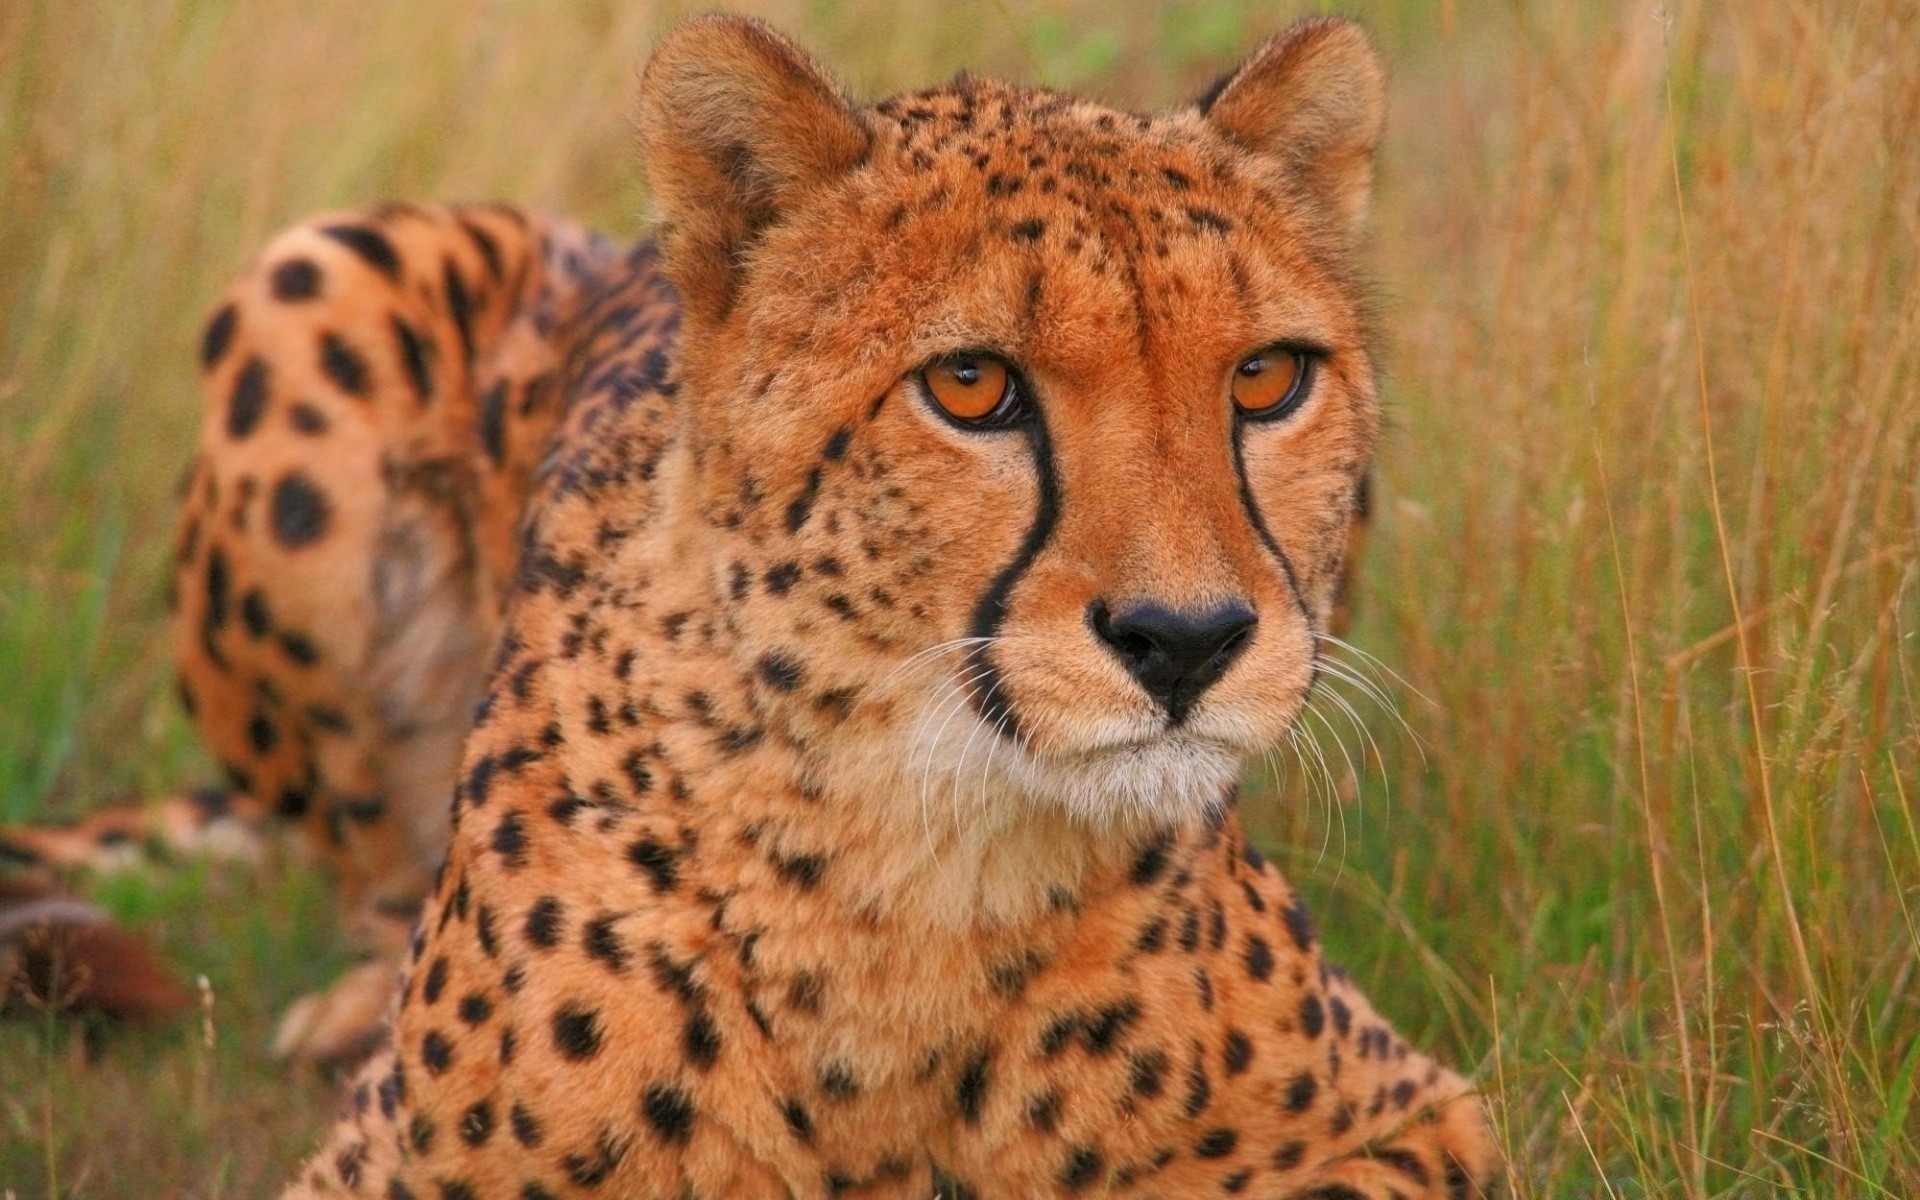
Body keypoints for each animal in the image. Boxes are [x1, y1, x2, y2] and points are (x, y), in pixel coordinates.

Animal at [41, 11, 1512, 1198]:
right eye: (971, 386)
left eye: (1267, 378)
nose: (1188, 641)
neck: (915, 855)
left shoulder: (1415, 1121)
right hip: (313, 278)